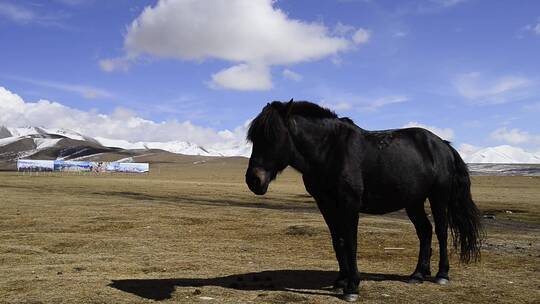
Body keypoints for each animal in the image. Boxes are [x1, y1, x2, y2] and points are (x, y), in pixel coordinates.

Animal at [245, 100, 480, 302]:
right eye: (254, 138)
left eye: (273, 136)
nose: (253, 180)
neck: (329, 151)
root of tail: (443, 145)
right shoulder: (326, 205)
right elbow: (338, 241)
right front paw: (341, 280)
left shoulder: (349, 205)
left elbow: (351, 242)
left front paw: (352, 287)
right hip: (413, 202)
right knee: (425, 231)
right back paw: (417, 274)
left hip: (438, 197)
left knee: (440, 231)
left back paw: (442, 274)